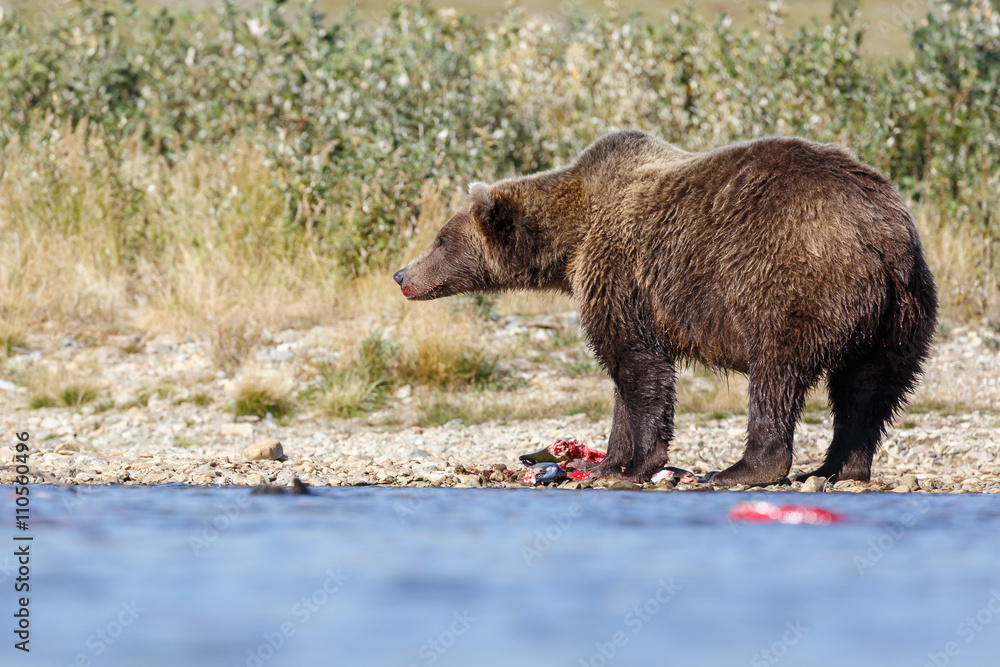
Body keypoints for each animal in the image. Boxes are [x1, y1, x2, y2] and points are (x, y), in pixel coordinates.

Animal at [393, 129, 938, 486]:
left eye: (440, 238)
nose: (402, 274)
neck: (570, 240)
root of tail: (879, 232)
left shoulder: (619, 273)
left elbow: (639, 367)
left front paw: (636, 464)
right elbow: (623, 382)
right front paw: (601, 461)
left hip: (793, 282)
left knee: (776, 376)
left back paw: (742, 469)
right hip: (900, 314)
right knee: (869, 391)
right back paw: (837, 467)